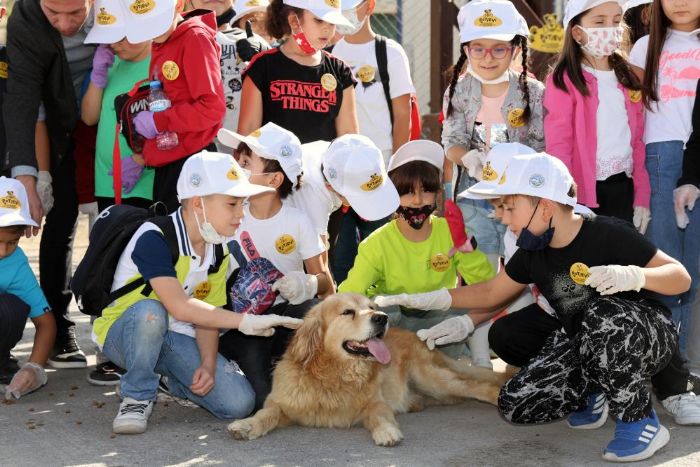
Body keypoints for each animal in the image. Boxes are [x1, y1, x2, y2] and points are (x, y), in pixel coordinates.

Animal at [228, 294, 508, 448]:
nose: (382, 317)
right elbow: (266, 414)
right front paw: (247, 425)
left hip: (434, 379)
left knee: (479, 386)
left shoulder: (376, 402)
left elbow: (379, 416)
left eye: (373, 306)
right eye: (347, 312)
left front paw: (387, 431)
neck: (334, 376)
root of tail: (414, 335)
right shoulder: (281, 402)